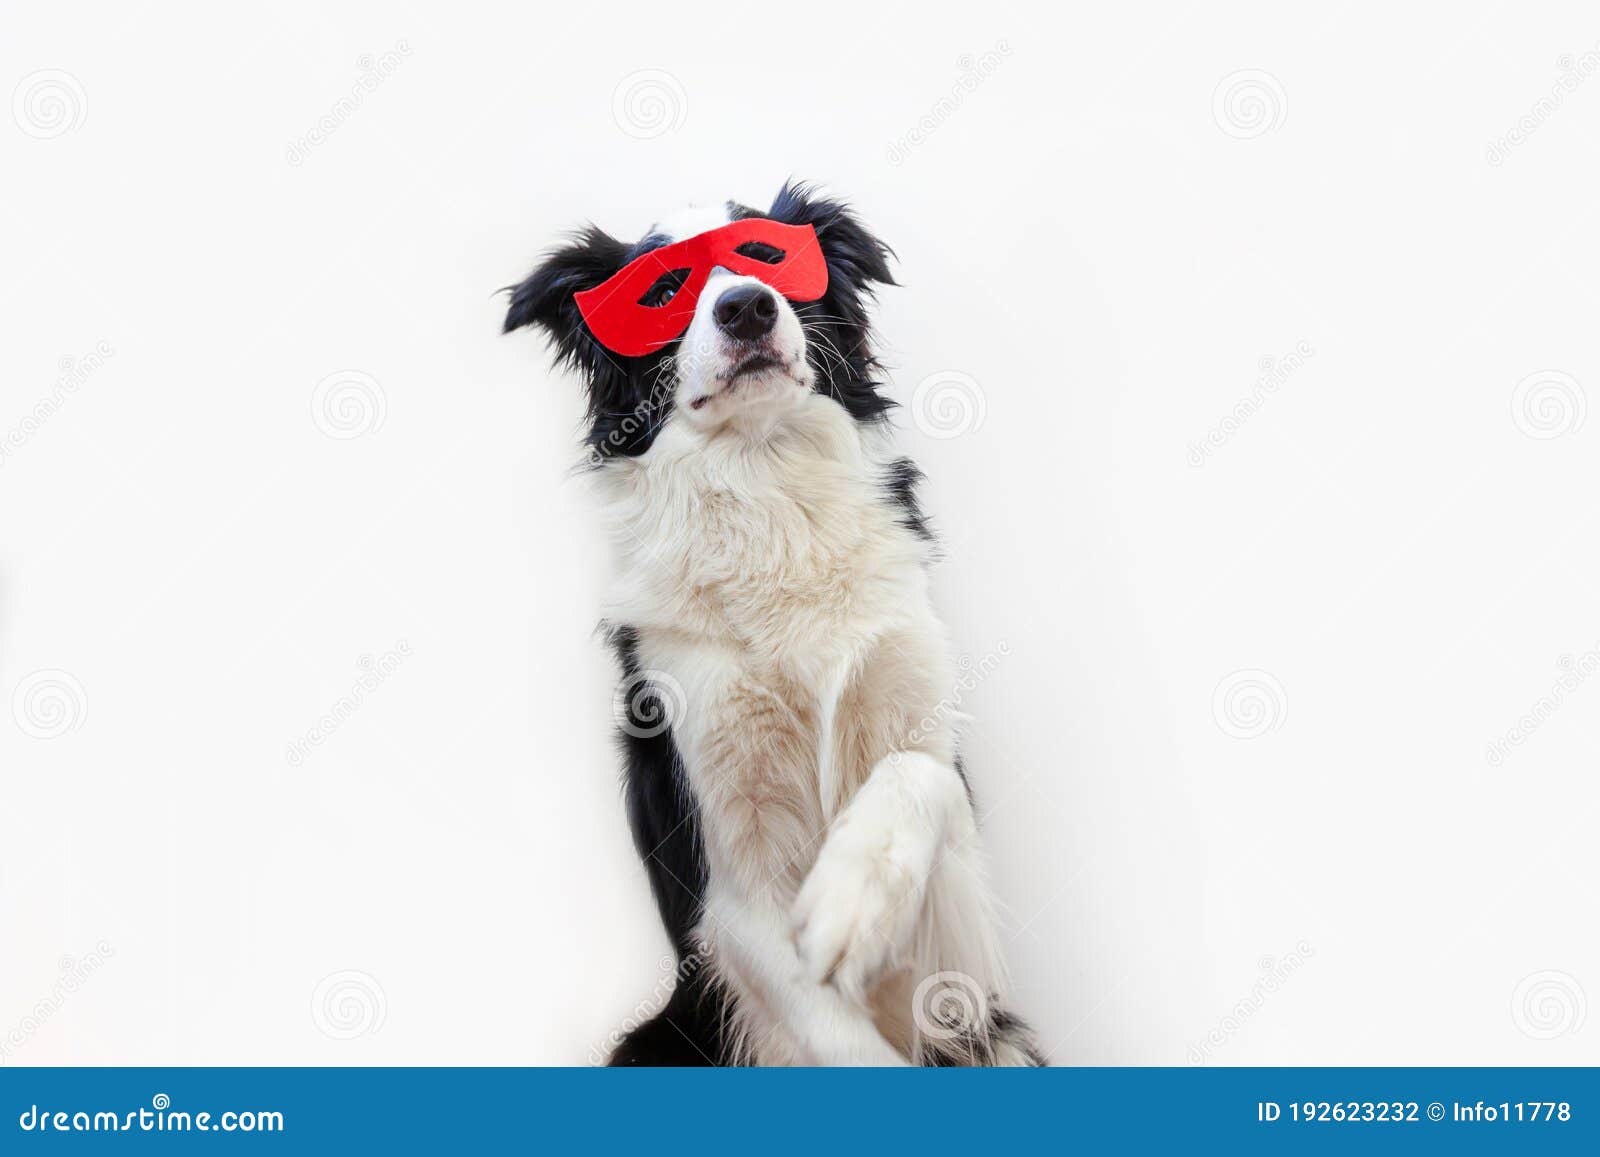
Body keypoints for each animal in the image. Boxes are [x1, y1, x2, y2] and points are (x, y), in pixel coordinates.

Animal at [505, 183, 1043, 1068]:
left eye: (766, 255)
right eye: (663, 290)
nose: (748, 308)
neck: (763, 481)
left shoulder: (957, 918)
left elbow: (916, 772)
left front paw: (853, 892)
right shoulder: (728, 889)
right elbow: (840, 1038)